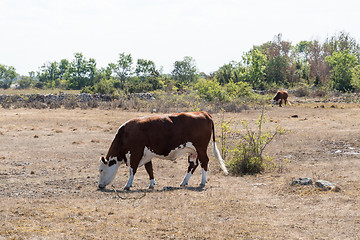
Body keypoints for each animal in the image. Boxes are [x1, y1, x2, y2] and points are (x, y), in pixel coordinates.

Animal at [98, 111, 228, 191]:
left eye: (101, 170)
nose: (99, 186)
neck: (125, 134)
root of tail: (203, 113)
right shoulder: (146, 155)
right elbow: (149, 169)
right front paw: (151, 184)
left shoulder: (136, 153)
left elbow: (132, 169)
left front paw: (128, 185)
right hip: (193, 151)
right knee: (193, 165)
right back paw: (184, 182)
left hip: (201, 148)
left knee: (204, 162)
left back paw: (202, 182)